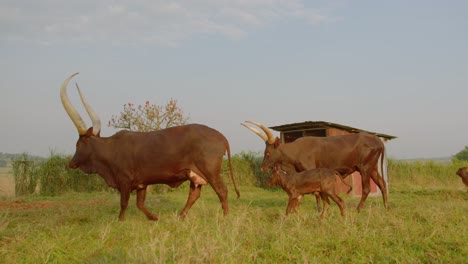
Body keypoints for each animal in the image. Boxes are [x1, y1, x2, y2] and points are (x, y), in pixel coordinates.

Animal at [59, 72, 239, 221]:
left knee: (222, 191)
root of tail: (220, 136)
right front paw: (154, 217)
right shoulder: (142, 184)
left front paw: (120, 221)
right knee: (194, 195)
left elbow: (124, 203)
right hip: (194, 175)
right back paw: (181, 217)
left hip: (210, 171)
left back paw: (226, 217)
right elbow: (140, 204)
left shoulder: (124, 181)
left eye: (78, 144)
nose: (71, 163)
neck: (110, 150)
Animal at [241, 120, 388, 211]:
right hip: (373, 168)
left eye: (269, 153)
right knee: (382, 184)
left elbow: (316, 193)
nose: (263, 167)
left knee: (367, 188)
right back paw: (387, 206)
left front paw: (319, 210)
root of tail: (378, 140)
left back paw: (359, 209)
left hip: (365, 168)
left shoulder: (311, 171)